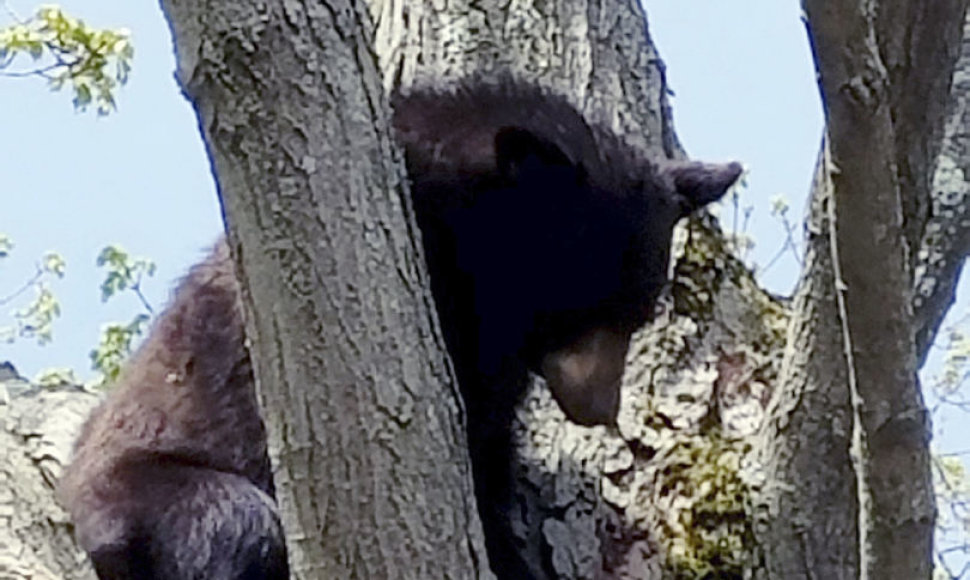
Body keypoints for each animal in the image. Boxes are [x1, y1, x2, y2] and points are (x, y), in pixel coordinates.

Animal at [58, 78, 740, 580]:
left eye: (635, 314)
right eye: (580, 305)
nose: (599, 406)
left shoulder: (497, 385)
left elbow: (487, 468)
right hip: (138, 491)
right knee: (237, 524)